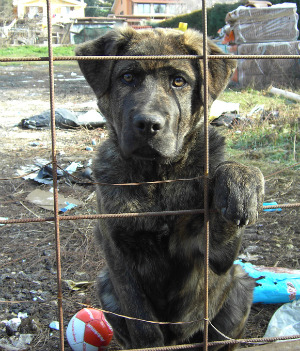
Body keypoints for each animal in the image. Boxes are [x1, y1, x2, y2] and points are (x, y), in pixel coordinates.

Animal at [75, 28, 264, 350]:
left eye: (179, 81)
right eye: (127, 77)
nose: (148, 124)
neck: (157, 179)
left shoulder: (213, 255)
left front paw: (241, 181)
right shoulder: (118, 255)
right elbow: (143, 324)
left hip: (240, 286)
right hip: (105, 288)